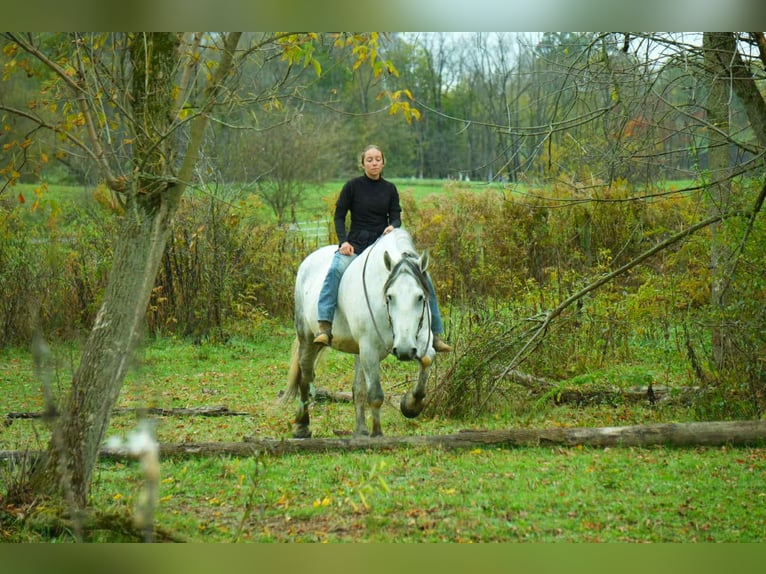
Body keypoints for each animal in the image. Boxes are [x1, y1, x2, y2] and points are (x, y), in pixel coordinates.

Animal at [284, 228, 436, 438]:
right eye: (390, 296)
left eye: (420, 297)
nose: (405, 351)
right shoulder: (369, 350)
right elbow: (376, 395)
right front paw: (377, 434)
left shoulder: (421, 342)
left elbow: (427, 360)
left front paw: (410, 406)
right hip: (308, 337)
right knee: (306, 377)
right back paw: (302, 427)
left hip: (357, 349)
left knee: (357, 389)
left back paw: (361, 430)